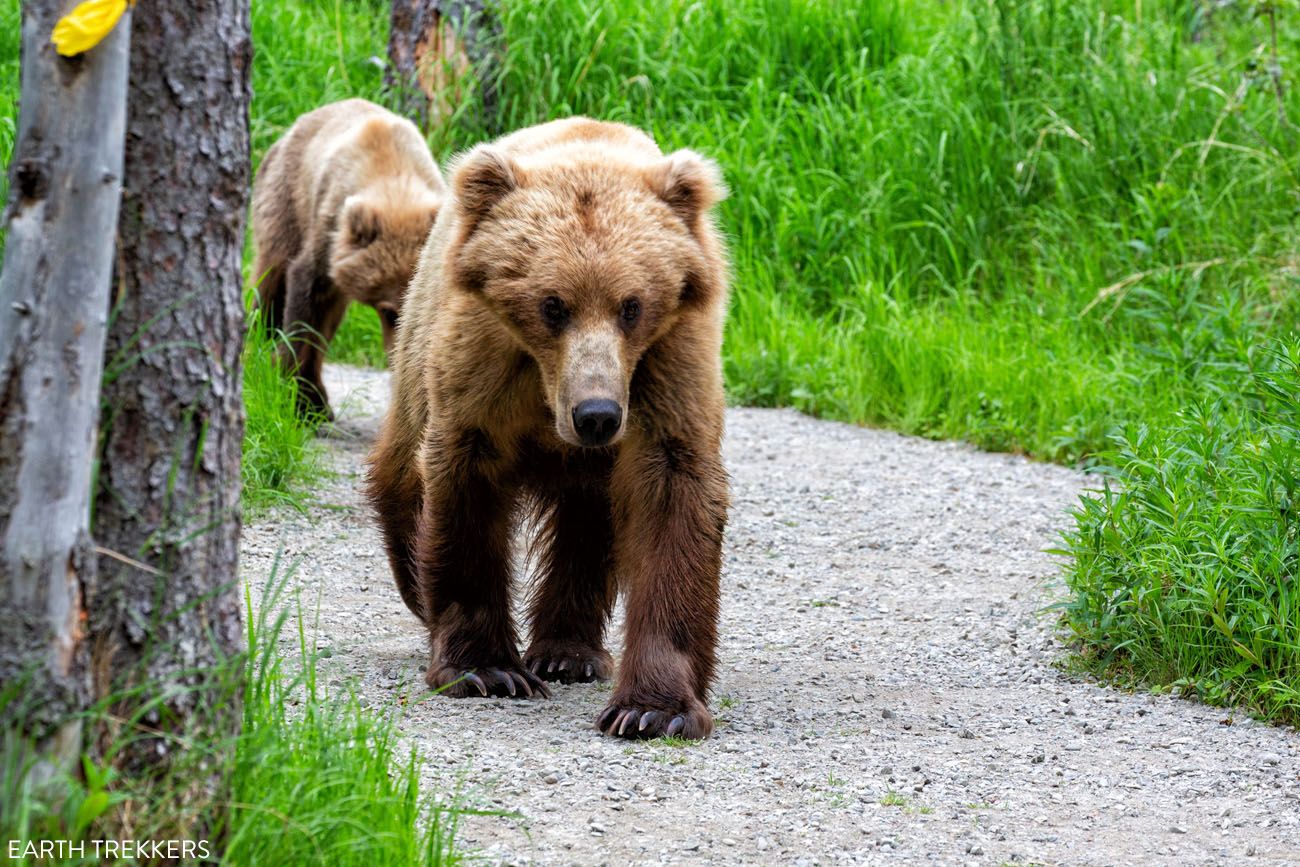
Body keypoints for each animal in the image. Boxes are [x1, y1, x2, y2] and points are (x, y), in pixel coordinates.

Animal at [252, 98, 447, 415]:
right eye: (389, 311)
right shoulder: (328, 227)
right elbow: (304, 307)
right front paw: (295, 395)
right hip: (285, 202)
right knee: (271, 277)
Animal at [366, 115, 733, 738]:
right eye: (552, 304)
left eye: (632, 305)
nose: (597, 414)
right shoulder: (484, 361)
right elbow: (465, 488)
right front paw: (487, 670)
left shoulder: (668, 364)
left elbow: (671, 498)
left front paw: (651, 709)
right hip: (418, 346)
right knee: (402, 474)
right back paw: (419, 587)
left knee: (589, 522)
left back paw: (567, 652)